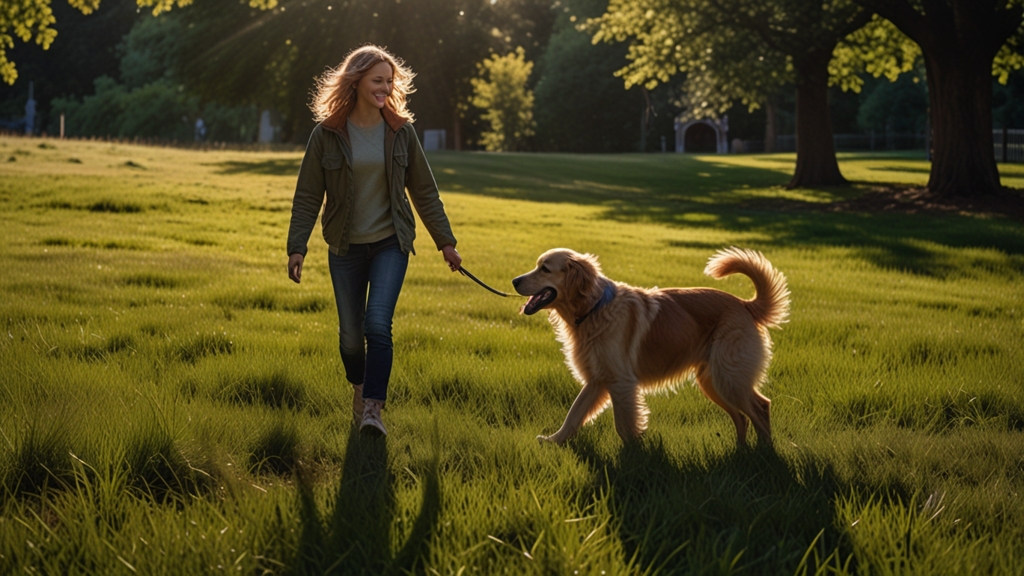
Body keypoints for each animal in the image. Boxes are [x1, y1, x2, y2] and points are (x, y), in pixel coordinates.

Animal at [512, 245, 790, 444]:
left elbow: (624, 425)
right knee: (742, 417)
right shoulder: (597, 380)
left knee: (761, 407)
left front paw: (634, 458)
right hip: (713, 382)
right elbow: (573, 415)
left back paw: (764, 454)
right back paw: (741, 451)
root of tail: (744, 304)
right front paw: (553, 441)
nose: (514, 281)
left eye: (545, 269)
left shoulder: (621, 382)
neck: (594, 309)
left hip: (729, 378)